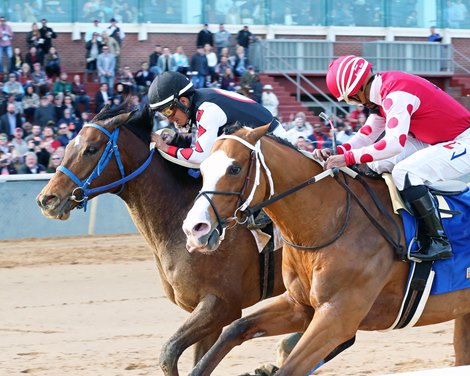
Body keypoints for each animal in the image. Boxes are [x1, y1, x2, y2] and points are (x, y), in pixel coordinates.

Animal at [35, 103, 286, 376]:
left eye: (90, 149)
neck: (180, 218)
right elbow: (197, 361)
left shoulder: (222, 304)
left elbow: (169, 352)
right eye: (68, 145)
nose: (47, 199)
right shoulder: (205, 310)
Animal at [182, 125, 470, 374]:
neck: (329, 222)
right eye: (203, 169)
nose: (194, 228)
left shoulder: (337, 318)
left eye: (234, 168)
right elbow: (234, 329)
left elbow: (288, 368)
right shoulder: (299, 305)